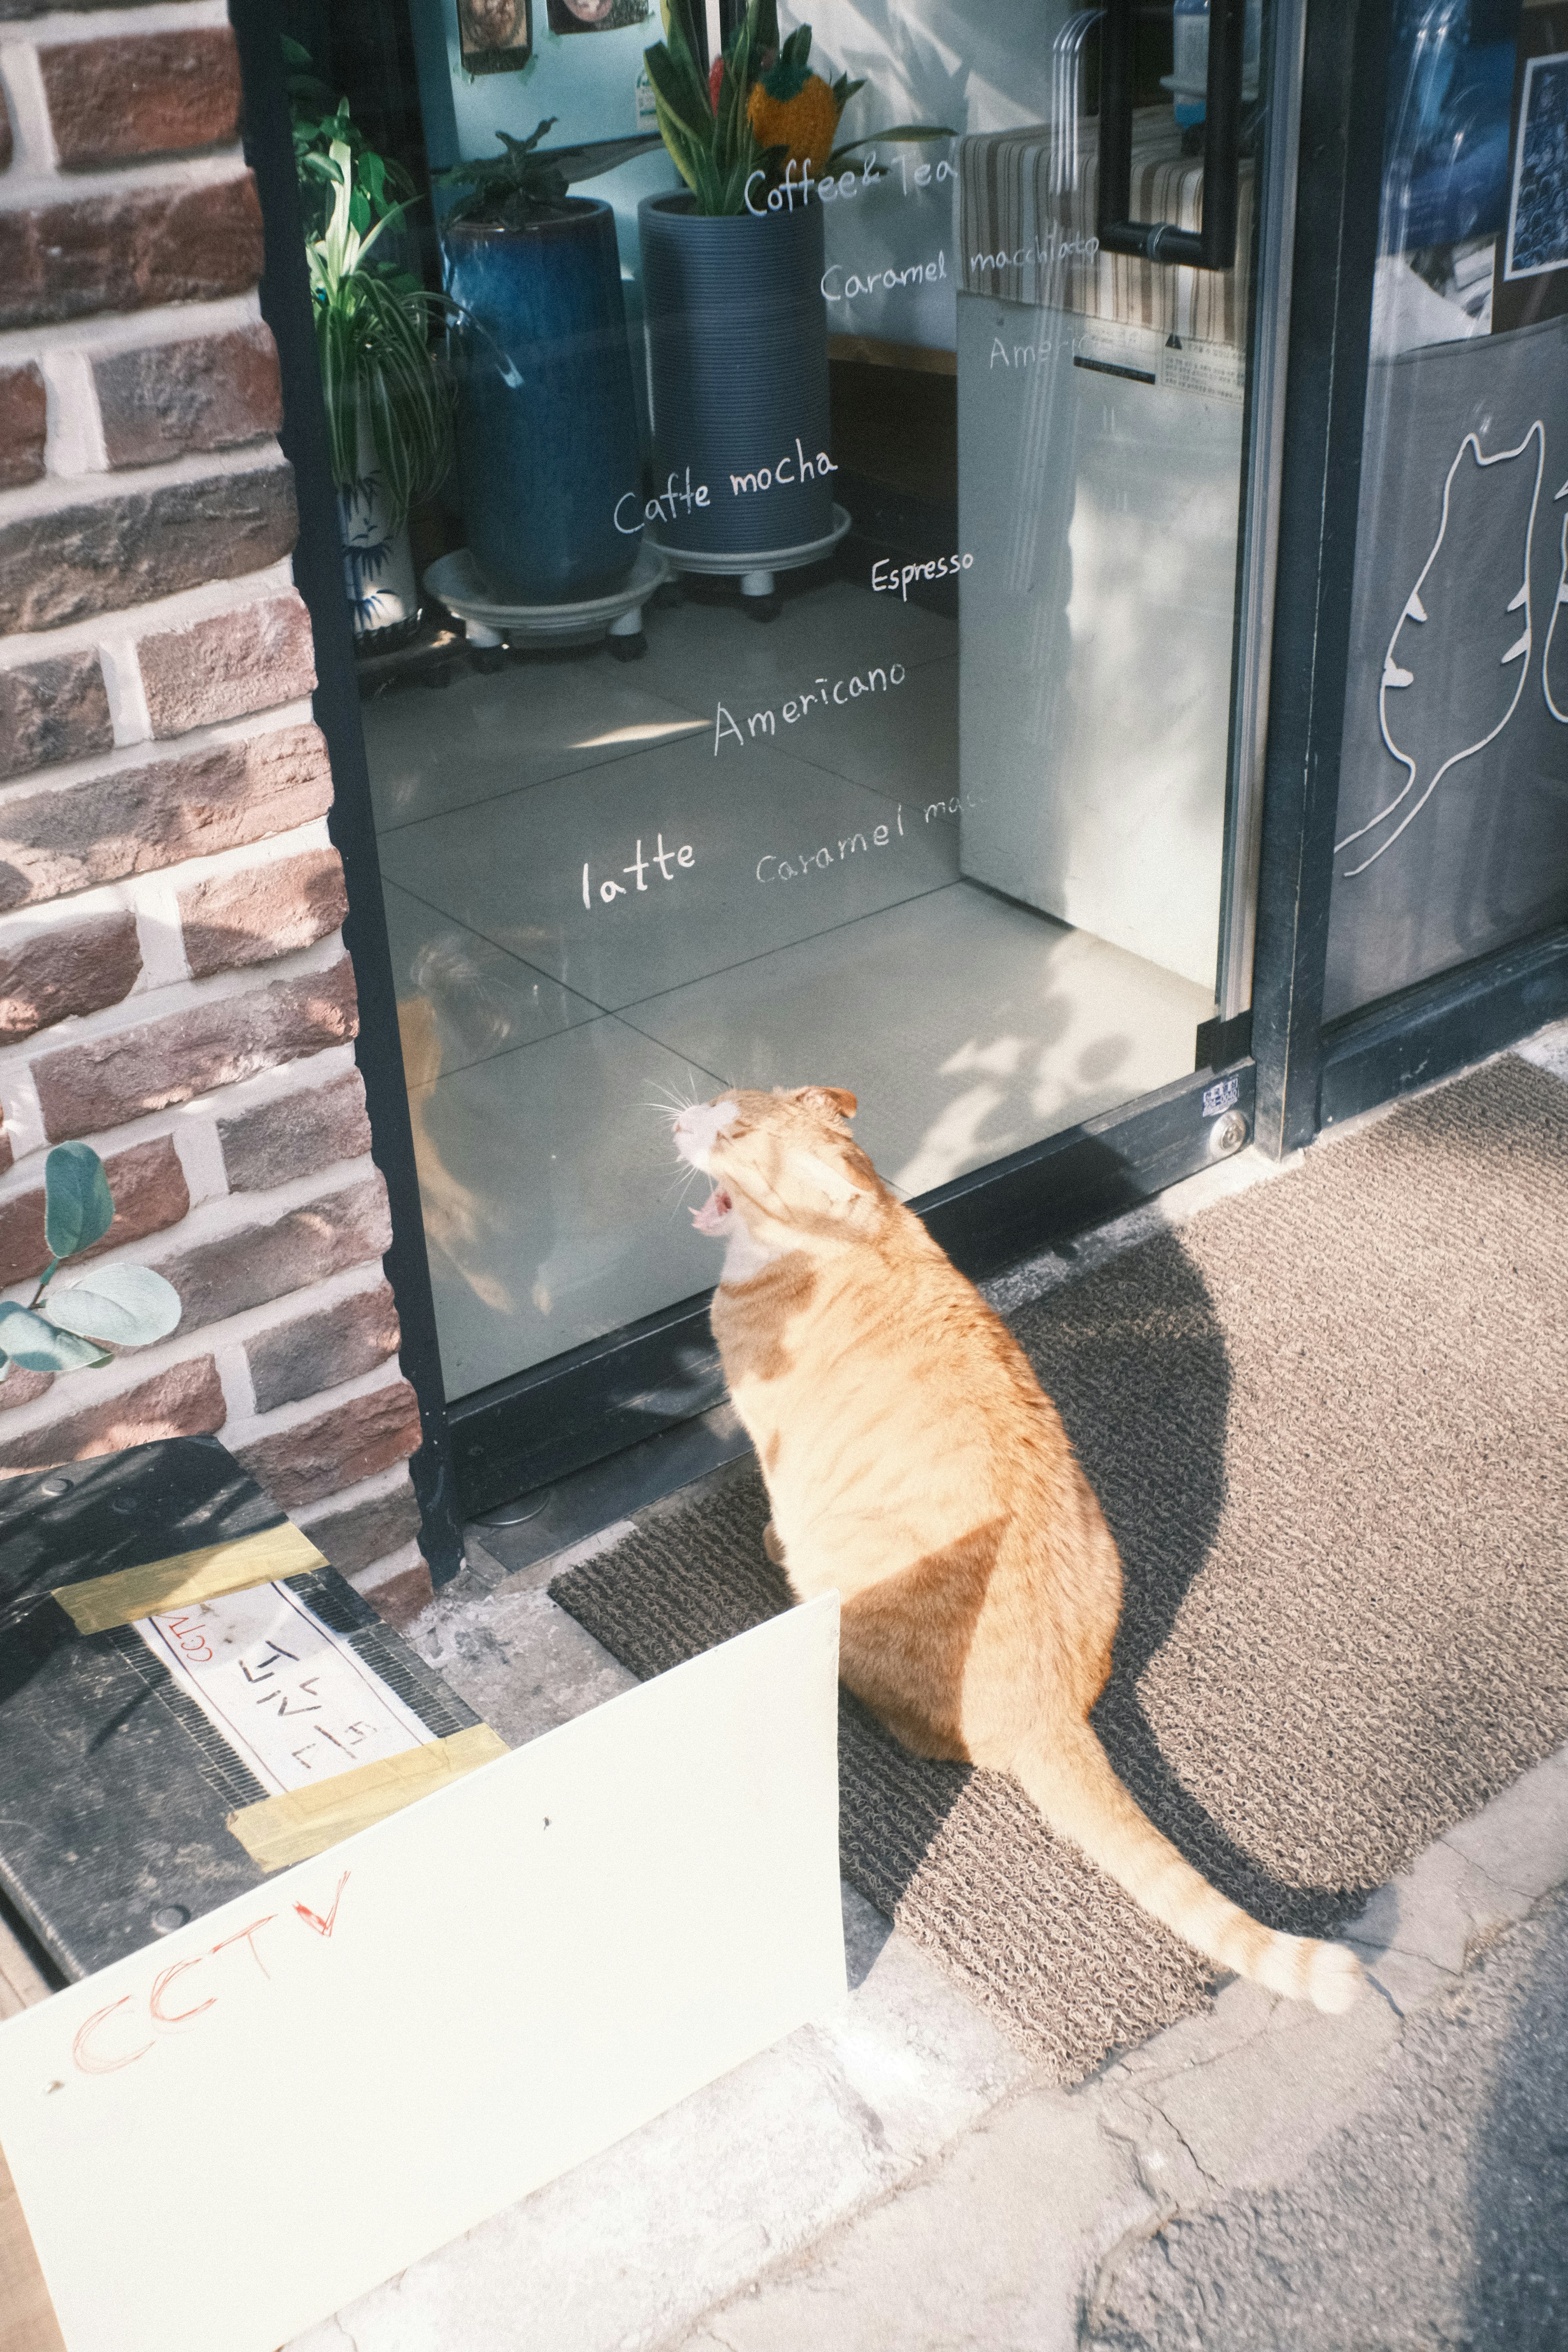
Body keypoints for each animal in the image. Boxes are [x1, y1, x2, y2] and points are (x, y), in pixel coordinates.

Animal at [677, 1091, 1363, 2013]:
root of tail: (1055, 1708)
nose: (680, 1120)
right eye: (721, 1107)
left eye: (736, 1133)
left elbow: (776, 1509)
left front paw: (766, 1538)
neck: (861, 1230)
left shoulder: (776, 1453)